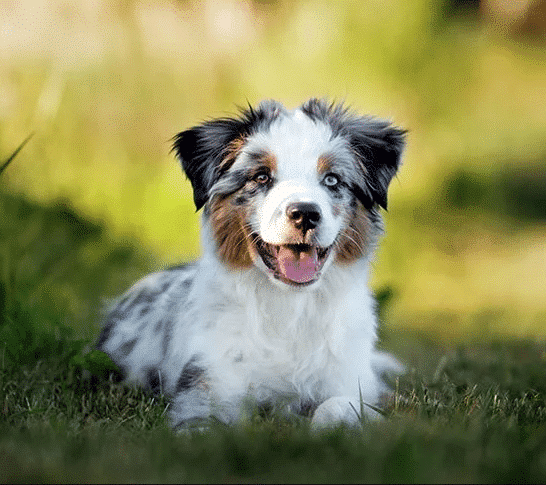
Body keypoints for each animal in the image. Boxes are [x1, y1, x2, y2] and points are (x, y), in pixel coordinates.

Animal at [96, 97, 404, 428]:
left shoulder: (351, 382)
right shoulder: (206, 386)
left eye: (332, 179)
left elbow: (337, 407)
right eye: (261, 177)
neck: (289, 308)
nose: (305, 214)